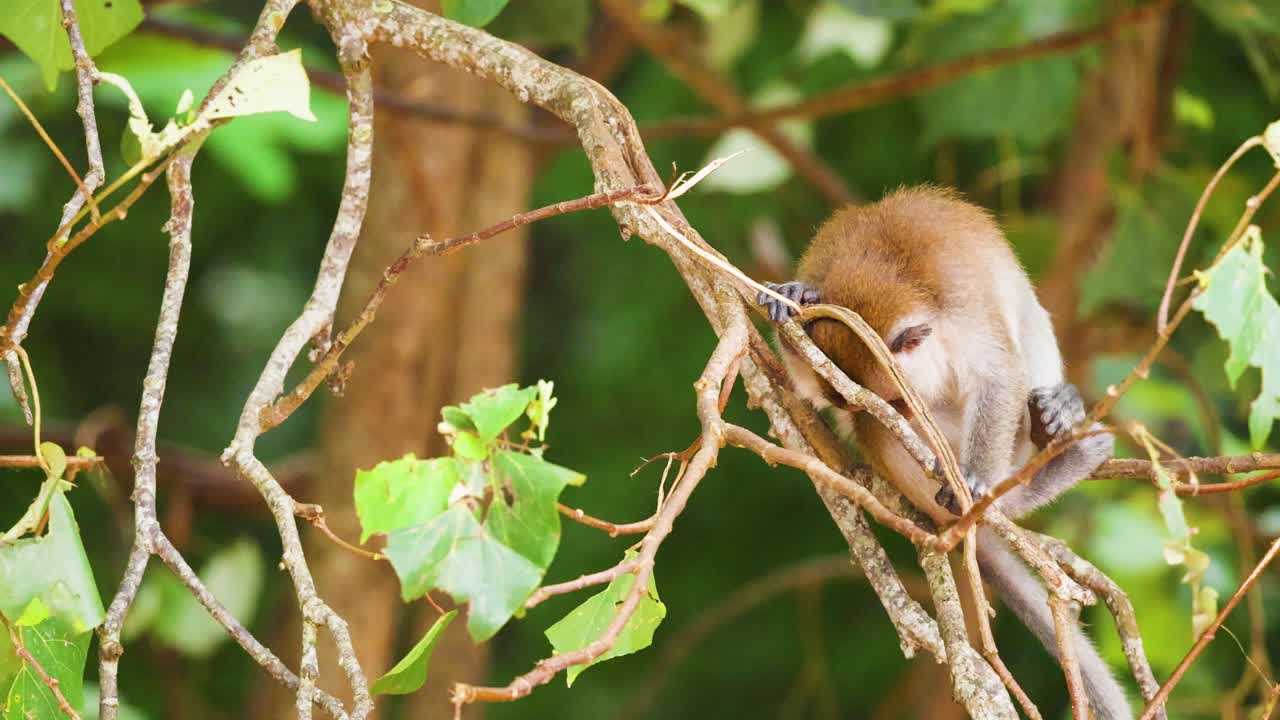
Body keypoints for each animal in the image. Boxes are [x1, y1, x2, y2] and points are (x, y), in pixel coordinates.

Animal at [757, 186, 1130, 719]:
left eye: (896, 399)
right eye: (879, 403)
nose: (891, 412)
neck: (883, 265)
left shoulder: (961, 304)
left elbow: (999, 377)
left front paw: (975, 481)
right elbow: (805, 381)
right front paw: (792, 298)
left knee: (1029, 335)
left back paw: (1043, 436)